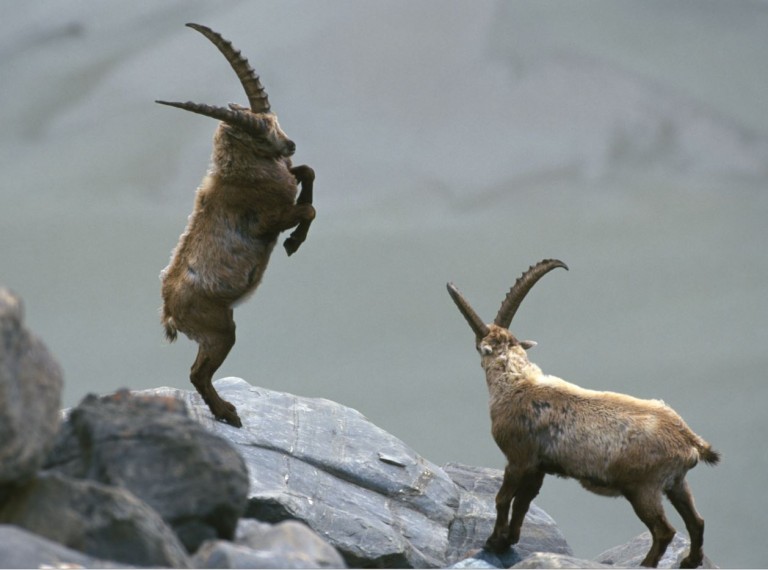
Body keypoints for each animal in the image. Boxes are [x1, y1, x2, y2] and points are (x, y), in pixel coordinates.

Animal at [157, 23, 315, 427]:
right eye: (257, 132)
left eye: (273, 121)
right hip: (220, 330)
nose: (289, 144)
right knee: (198, 373)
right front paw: (293, 242)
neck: (240, 174)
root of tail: (169, 309)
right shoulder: (267, 220)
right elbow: (306, 212)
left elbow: (307, 172)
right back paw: (228, 413)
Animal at [446, 259, 719, 568]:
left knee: (664, 531)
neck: (515, 383)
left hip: (642, 488)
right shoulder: (538, 466)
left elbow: (503, 499)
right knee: (697, 521)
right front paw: (509, 540)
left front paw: (493, 542)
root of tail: (689, 440)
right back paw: (689, 561)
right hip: (677, 483)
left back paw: (647, 563)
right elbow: (524, 502)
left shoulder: (518, 459)